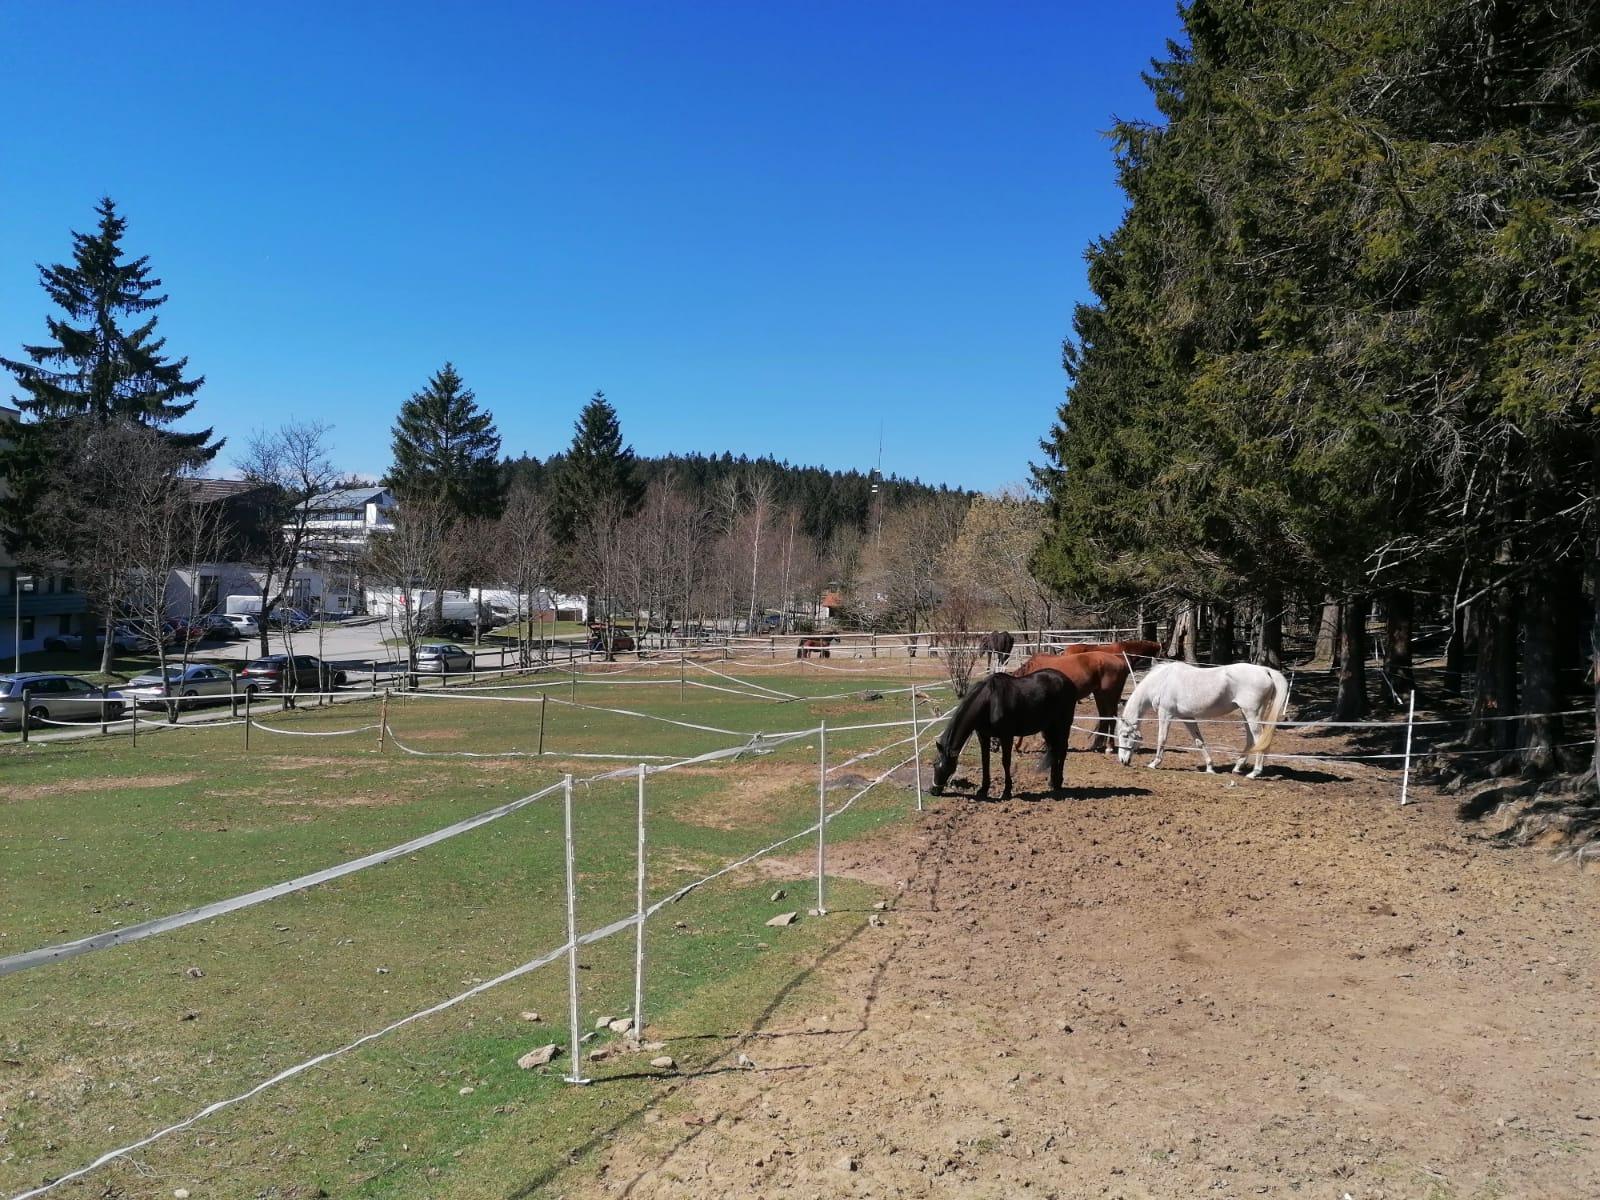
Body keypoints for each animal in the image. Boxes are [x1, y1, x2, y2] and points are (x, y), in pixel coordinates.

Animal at [934, 672, 1081, 803]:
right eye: (934, 764)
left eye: (939, 765)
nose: (933, 790)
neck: (990, 700)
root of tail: (1067, 681)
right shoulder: (983, 736)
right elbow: (985, 761)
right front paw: (983, 789)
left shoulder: (1006, 737)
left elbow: (1006, 762)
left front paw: (1006, 791)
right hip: (1048, 728)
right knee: (1054, 749)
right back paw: (1052, 782)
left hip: (1063, 725)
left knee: (1062, 750)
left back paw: (1059, 783)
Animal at [1120, 659, 1292, 780]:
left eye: (1125, 735)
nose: (1122, 761)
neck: (1161, 681)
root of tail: (1265, 670)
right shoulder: (1187, 717)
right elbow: (1199, 741)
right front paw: (1210, 768)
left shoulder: (1165, 714)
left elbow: (1162, 739)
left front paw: (1154, 763)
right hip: (1247, 714)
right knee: (1250, 739)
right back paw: (1237, 768)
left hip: (1252, 714)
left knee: (1259, 738)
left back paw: (1254, 773)